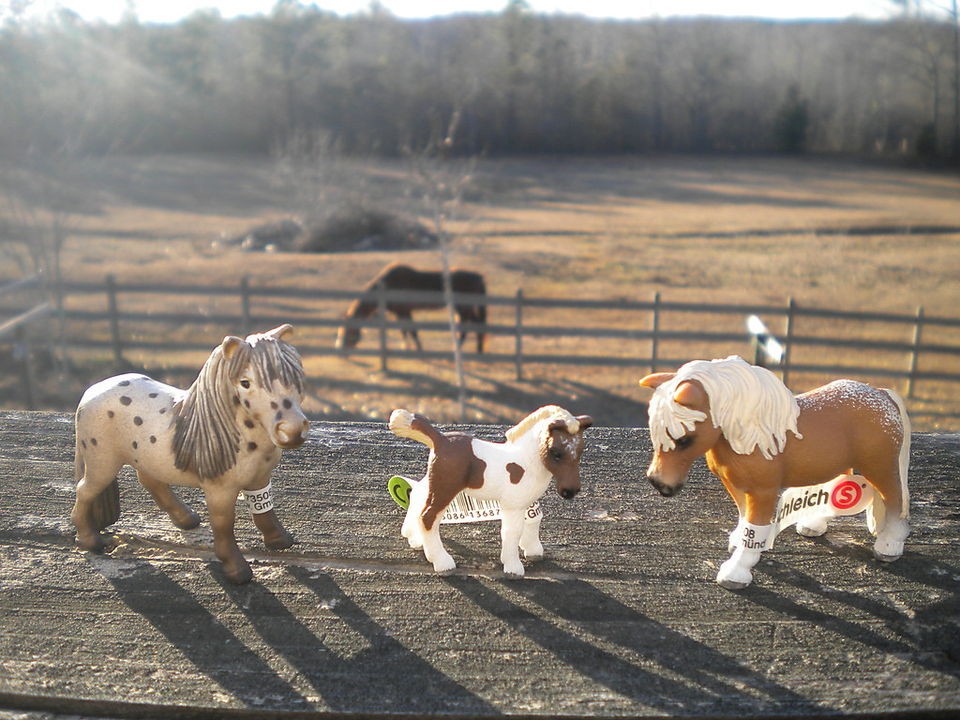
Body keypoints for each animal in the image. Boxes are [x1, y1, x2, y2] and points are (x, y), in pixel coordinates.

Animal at [336, 264, 488, 354]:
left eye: (348, 331)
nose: (340, 349)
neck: (387, 286)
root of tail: (479, 277)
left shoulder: (404, 311)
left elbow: (412, 330)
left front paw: (417, 349)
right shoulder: (400, 313)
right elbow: (405, 330)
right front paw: (407, 347)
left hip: (463, 309)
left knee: (472, 326)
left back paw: (465, 348)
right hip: (461, 310)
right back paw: (475, 349)